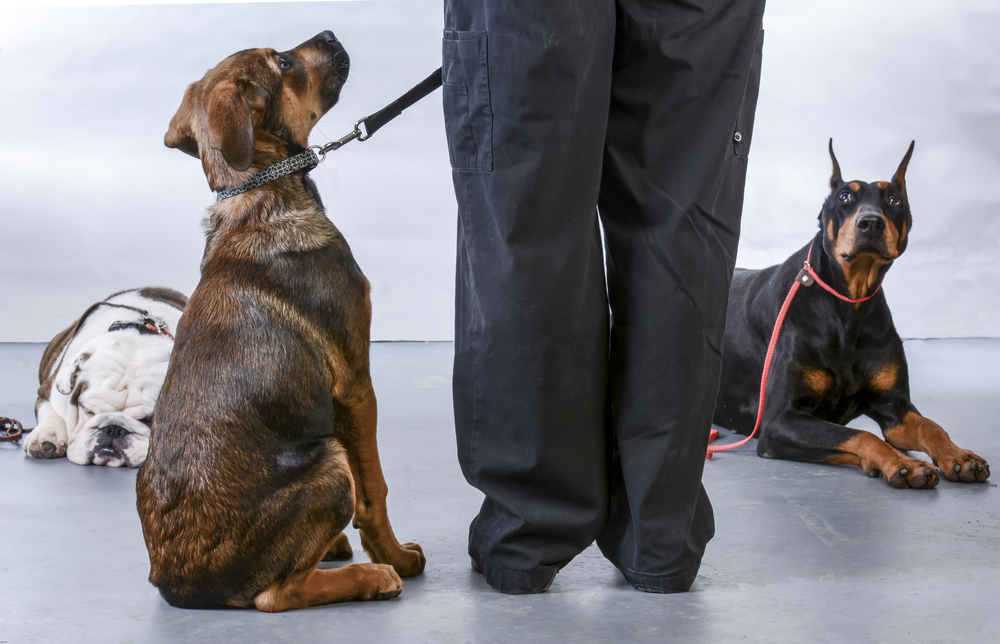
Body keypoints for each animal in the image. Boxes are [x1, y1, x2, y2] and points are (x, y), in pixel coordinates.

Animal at [23, 288, 187, 468]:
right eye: (88, 410)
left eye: (149, 420)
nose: (114, 429)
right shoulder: (47, 391)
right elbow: (50, 411)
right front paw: (47, 435)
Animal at [134, 31, 426, 612]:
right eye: (286, 63)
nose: (331, 34)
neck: (259, 188)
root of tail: (179, 582)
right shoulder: (355, 383)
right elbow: (375, 492)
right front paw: (398, 554)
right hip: (330, 462)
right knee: (276, 595)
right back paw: (373, 575)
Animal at [716, 141, 988, 490]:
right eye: (845, 196)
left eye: (893, 199)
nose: (870, 223)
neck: (849, 304)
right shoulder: (779, 421)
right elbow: (860, 435)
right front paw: (904, 464)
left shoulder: (894, 406)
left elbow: (930, 426)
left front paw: (959, 456)